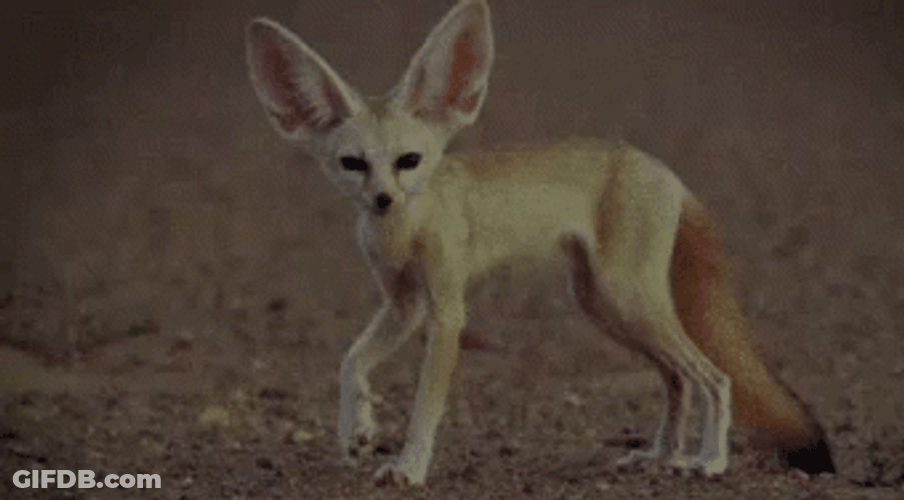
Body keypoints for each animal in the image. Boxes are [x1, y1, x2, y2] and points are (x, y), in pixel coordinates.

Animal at [244, 0, 835, 487]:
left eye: (409, 161)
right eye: (353, 164)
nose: (384, 199)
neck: (402, 232)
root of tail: (659, 166)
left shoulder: (446, 313)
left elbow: (424, 406)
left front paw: (409, 467)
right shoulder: (403, 304)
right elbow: (351, 362)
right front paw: (357, 430)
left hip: (627, 302)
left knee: (715, 376)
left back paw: (710, 461)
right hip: (603, 306)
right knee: (678, 380)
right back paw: (661, 456)